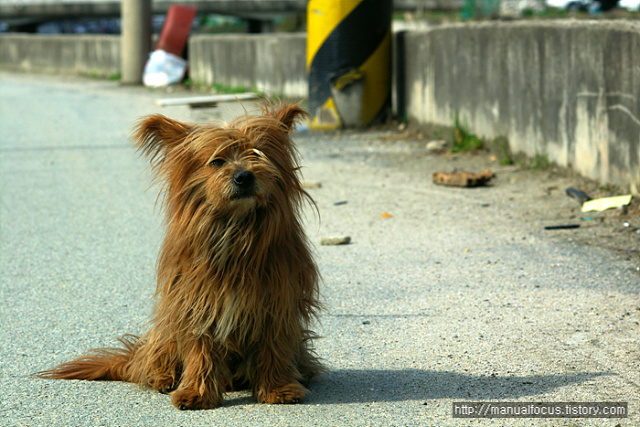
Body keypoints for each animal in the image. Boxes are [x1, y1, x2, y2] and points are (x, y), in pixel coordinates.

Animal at [37, 103, 322, 412]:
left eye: (258, 154)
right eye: (217, 161)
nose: (244, 176)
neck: (234, 229)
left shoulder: (278, 302)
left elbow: (274, 347)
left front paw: (278, 388)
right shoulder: (195, 301)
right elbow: (200, 349)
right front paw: (196, 392)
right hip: (164, 334)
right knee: (151, 363)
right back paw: (164, 377)